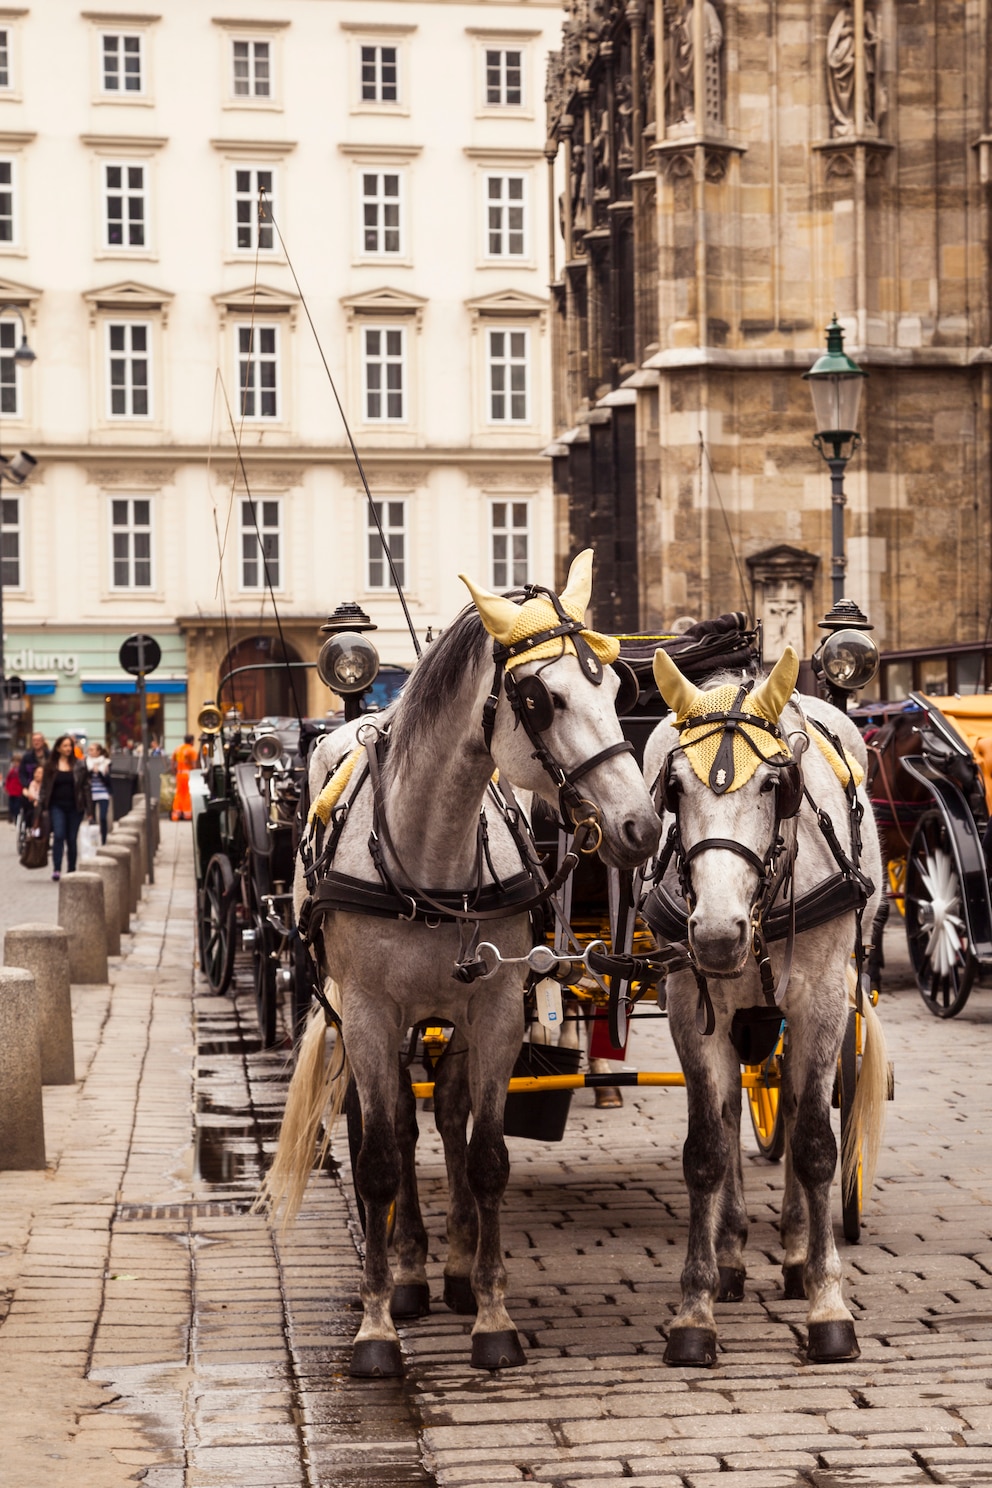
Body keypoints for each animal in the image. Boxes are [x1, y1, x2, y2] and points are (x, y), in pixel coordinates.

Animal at [261, 553, 660, 1374]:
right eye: (540, 698)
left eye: (617, 689)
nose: (640, 824)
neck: (431, 856)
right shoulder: (371, 1015)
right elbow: (381, 1158)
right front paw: (377, 1326)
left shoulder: (498, 1008)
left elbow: (485, 1156)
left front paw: (492, 1314)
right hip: (368, 1015)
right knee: (391, 1128)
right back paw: (408, 1271)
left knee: (444, 1116)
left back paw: (447, 1269)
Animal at [645, 645, 892, 1363]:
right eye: (675, 790)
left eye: (772, 786)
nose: (716, 933)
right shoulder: (692, 1006)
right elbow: (706, 1147)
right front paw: (695, 1310)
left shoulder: (822, 1001)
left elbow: (814, 1144)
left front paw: (828, 1303)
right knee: (733, 1116)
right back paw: (732, 1256)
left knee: (799, 1102)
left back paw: (795, 1251)